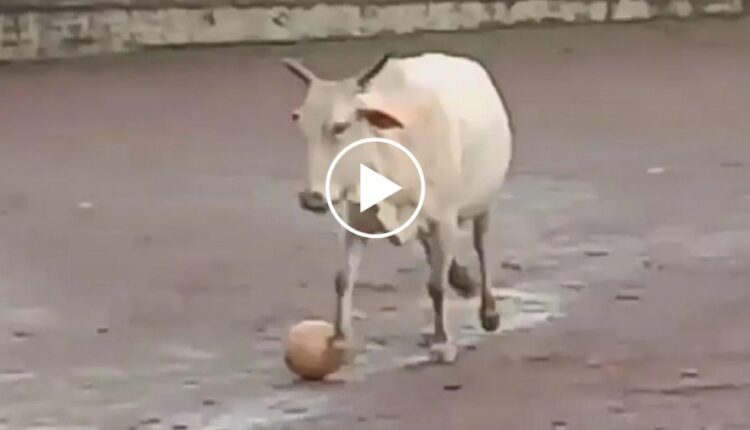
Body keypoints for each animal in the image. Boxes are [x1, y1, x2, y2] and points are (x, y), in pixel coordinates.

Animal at [283, 52, 513, 363]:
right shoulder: (355, 222)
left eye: (340, 126)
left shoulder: (444, 220)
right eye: (302, 126)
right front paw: (340, 337)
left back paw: (488, 311)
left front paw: (443, 343)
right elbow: (343, 278)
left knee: (481, 248)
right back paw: (462, 281)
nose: (312, 198)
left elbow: (436, 285)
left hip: (482, 203)